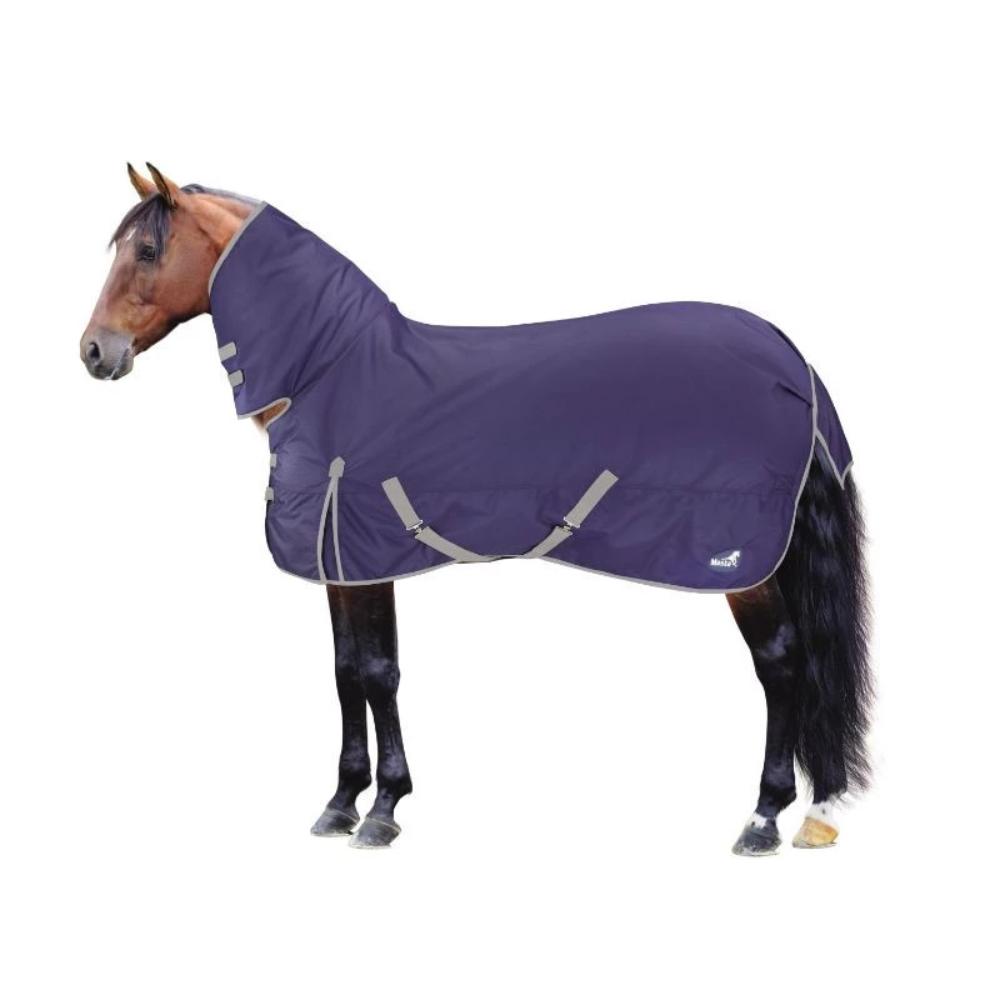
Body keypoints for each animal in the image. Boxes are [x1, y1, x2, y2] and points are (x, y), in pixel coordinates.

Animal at [80, 163, 873, 855]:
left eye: (147, 249)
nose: (93, 351)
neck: (328, 370)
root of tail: (791, 358)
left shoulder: (365, 556)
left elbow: (378, 672)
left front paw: (382, 810)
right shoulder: (341, 561)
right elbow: (345, 670)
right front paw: (341, 803)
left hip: (743, 564)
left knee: (782, 663)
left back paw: (764, 817)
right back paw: (814, 811)